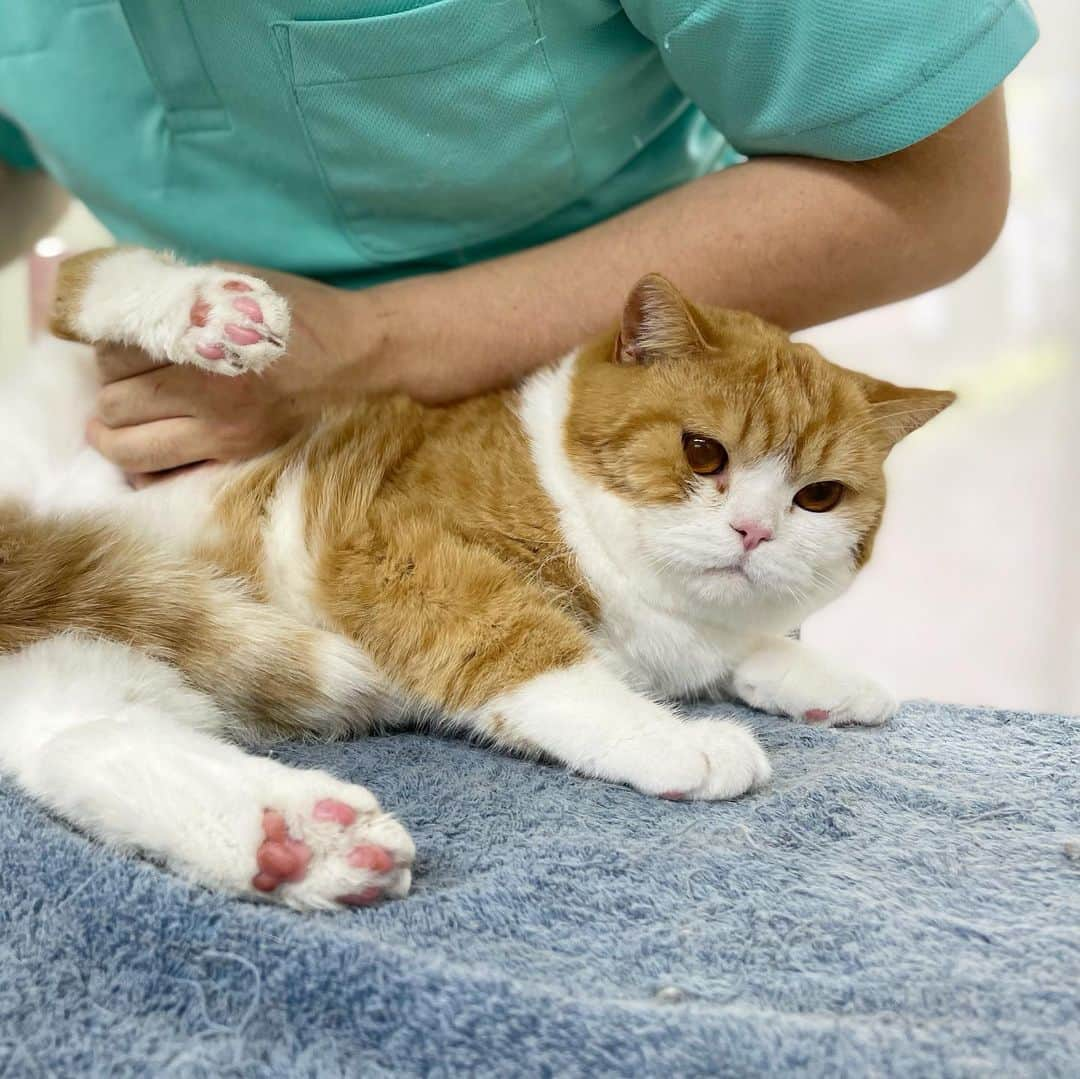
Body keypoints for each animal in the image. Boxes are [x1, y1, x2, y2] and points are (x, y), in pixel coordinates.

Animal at [0, 250, 950, 911]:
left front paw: (821, 677)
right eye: (702, 451)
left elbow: (741, 649)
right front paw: (675, 735)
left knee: (80, 741)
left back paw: (293, 839)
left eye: (818, 496)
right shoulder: (387, 543)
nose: (754, 530)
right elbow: (526, 648)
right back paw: (207, 307)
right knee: (90, 276)